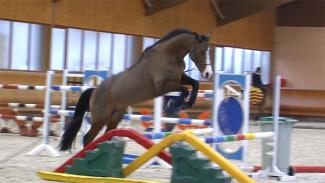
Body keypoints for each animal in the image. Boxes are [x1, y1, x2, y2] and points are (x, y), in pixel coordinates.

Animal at [58, 29, 213, 150]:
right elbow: (184, 90)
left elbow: (194, 84)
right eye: (202, 51)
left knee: (106, 134)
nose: (208, 74)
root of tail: (94, 92)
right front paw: (176, 105)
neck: (169, 55)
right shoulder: (163, 86)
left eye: (208, 51)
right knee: (87, 138)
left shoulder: (179, 78)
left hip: (115, 116)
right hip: (100, 119)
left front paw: (188, 103)